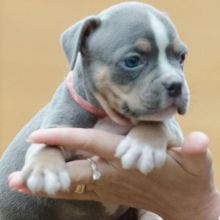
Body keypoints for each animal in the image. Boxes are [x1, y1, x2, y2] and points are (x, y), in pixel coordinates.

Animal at [0, 1, 189, 220]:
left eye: (182, 57)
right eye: (132, 61)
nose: (176, 84)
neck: (107, 115)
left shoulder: (175, 132)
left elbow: (158, 123)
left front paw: (143, 146)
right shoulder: (56, 127)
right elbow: (46, 145)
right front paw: (44, 170)